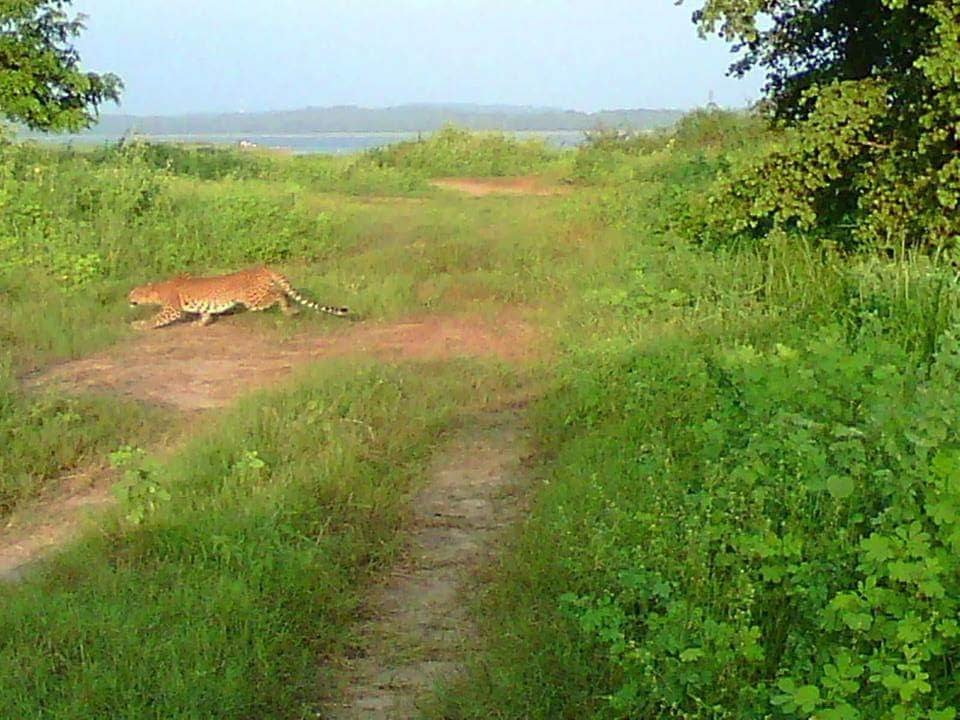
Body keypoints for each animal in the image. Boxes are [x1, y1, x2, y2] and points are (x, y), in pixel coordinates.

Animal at [128, 266, 350, 329]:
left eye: (133, 294)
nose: (128, 299)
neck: (157, 289)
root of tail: (263, 266)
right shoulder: (203, 306)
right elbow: (205, 313)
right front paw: (201, 323)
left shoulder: (172, 309)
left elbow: (157, 319)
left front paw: (140, 325)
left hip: (253, 300)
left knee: (279, 293)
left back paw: (290, 310)